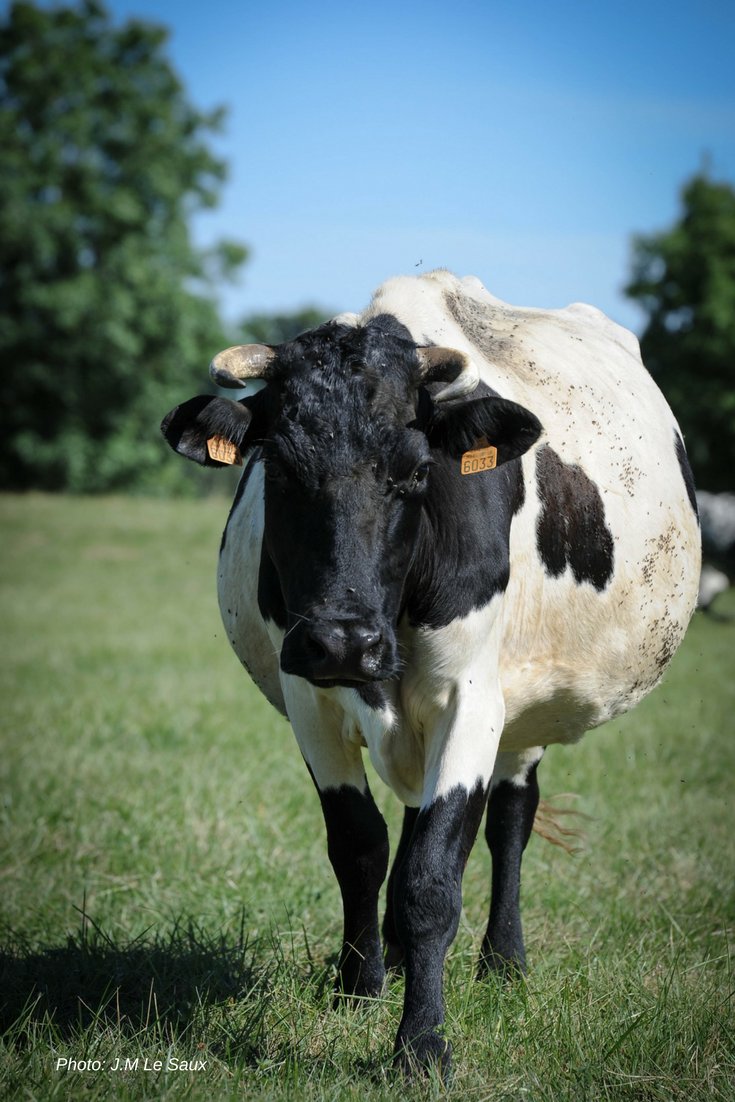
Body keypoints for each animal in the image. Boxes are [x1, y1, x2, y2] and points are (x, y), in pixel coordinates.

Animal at [162, 270, 701, 1075]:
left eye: (417, 472)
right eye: (278, 470)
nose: (341, 641)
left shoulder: (470, 700)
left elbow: (432, 879)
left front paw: (421, 1040)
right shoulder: (310, 699)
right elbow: (359, 847)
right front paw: (360, 987)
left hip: (521, 710)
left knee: (509, 817)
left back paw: (502, 963)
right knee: (416, 815)